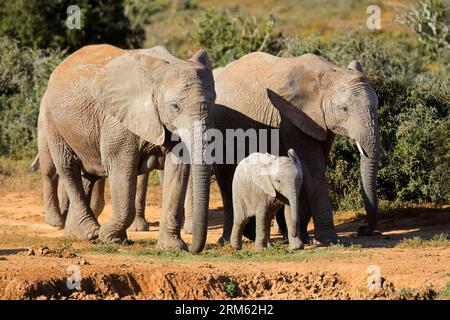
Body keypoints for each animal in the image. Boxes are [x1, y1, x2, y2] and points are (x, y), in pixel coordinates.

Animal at [37, 43, 215, 252]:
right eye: (174, 106)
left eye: (213, 102)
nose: (195, 248)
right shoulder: (118, 121)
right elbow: (121, 169)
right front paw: (111, 238)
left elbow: (177, 172)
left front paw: (173, 248)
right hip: (52, 120)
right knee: (67, 168)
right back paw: (92, 232)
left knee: (87, 175)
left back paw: (76, 234)